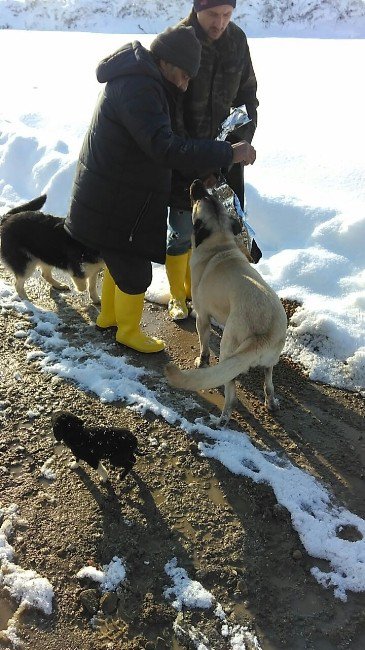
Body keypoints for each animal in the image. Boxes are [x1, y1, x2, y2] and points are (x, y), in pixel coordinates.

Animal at [165, 180, 288, 428]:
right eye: (209, 196)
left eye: (198, 199)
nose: (197, 182)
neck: (219, 244)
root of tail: (261, 336)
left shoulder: (203, 317)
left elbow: (203, 345)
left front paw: (201, 360)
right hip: (270, 362)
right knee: (269, 382)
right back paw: (271, 402)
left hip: (227, 349)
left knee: (231, 394)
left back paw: (222, 419)